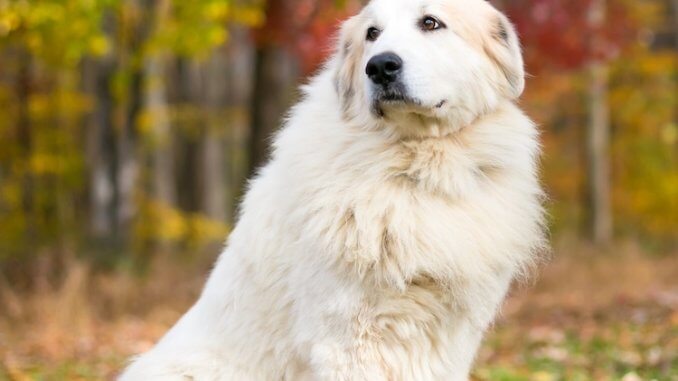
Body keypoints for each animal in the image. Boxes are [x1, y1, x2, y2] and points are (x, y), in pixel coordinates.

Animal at [121, 0, 548, 378]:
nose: (380, 66)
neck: (418, 166)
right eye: (372, 34)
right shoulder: (351, 339)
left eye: (431, 23)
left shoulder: (453, 337)